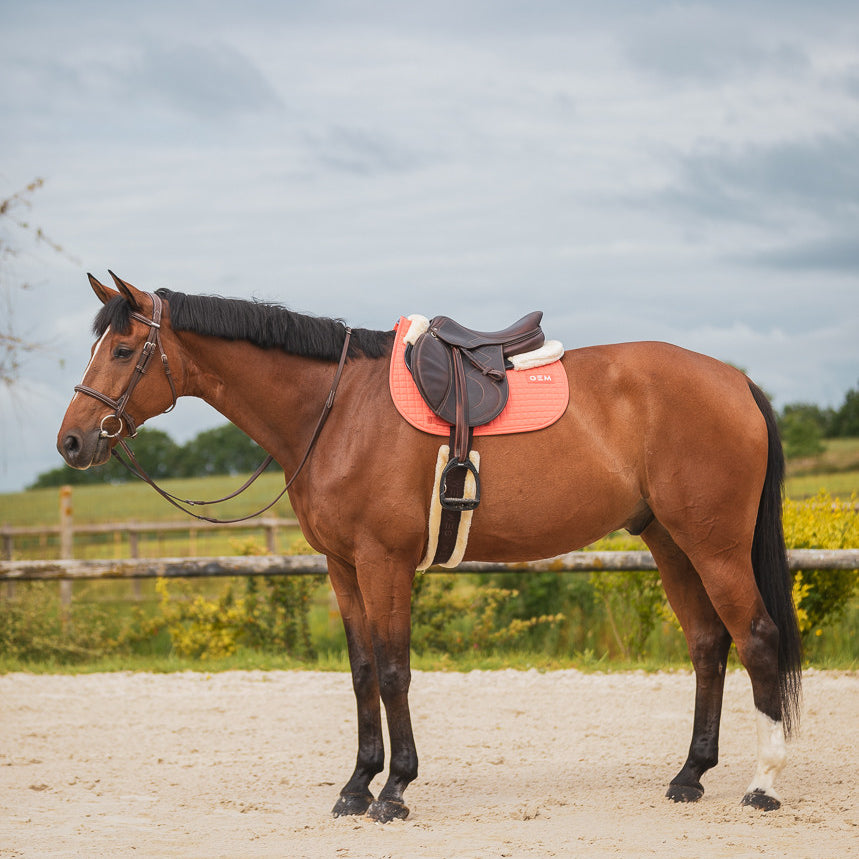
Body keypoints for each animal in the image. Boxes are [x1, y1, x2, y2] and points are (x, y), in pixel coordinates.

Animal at [57, 272, 804, 824]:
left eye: (122, 350)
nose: (72, 441)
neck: (338, 409)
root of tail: (733, 380)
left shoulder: (384, 561)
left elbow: (393, 671)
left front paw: (394, 790)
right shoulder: (342, 567)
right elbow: (361, 671)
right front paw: (356, 785)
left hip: (713, 546)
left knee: (756, 637)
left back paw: (763, 784)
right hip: (670, 543)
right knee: (707, 644)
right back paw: (690, 775)